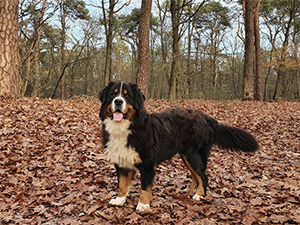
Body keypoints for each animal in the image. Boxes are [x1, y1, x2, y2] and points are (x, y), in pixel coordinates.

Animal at [98, 81, 258, 214]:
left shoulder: (148, 164)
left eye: (127, 95)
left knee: (203, 177)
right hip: (186, 156)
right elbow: (122, 184)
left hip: (194, 155)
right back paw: (189, 190)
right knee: (196, 176)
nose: (118, 101)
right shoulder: (122, 162)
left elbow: (145, 187)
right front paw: (120, 200)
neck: (127, 127)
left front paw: (143, 205)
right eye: (113, 94)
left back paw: (199, 195)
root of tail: (207, 117)